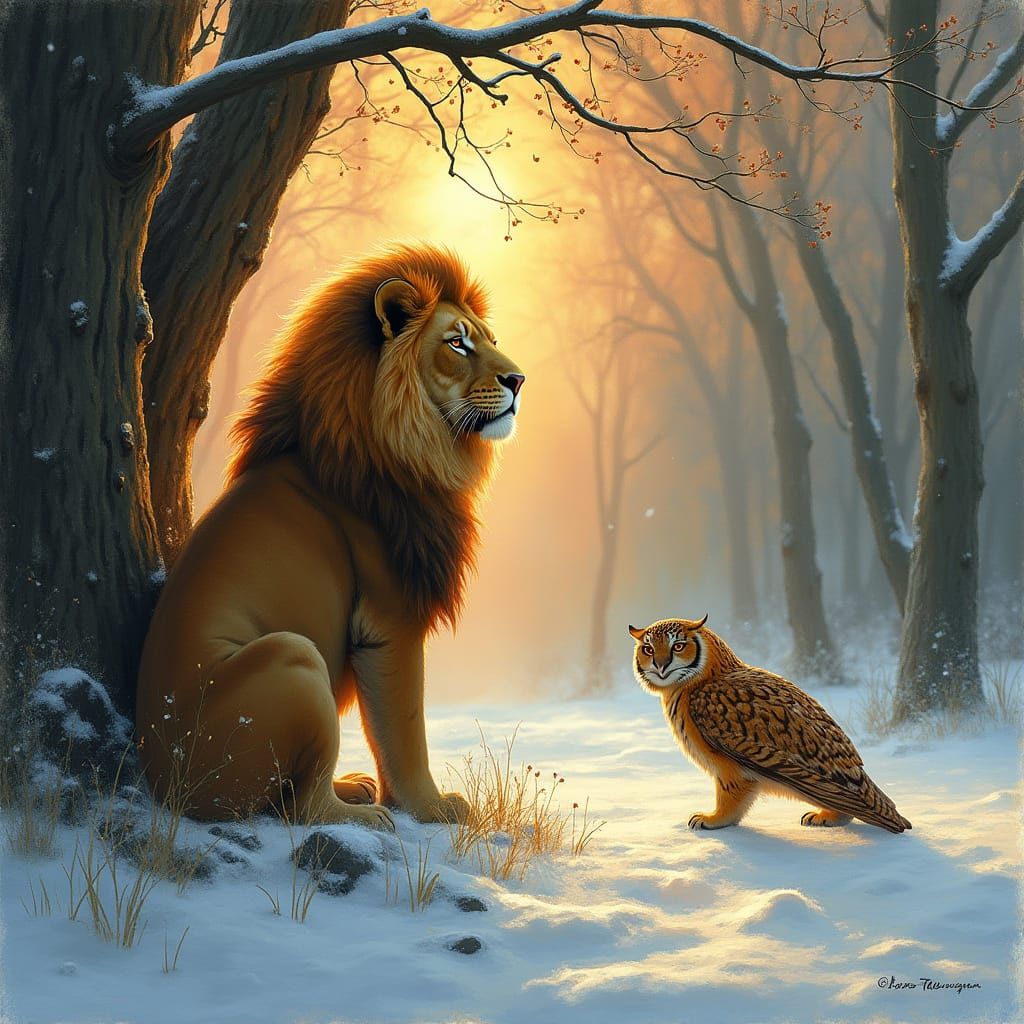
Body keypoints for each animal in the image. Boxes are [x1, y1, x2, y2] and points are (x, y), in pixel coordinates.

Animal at [135, 244, 525, 829]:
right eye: (457, 342)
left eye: (491, 340)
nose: (519, 381)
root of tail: (161, 784)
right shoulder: (391, 618)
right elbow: (403, 730)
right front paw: (429, 809)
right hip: (294, 659)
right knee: (300, 806)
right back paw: (362, 814)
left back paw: (355, 788)